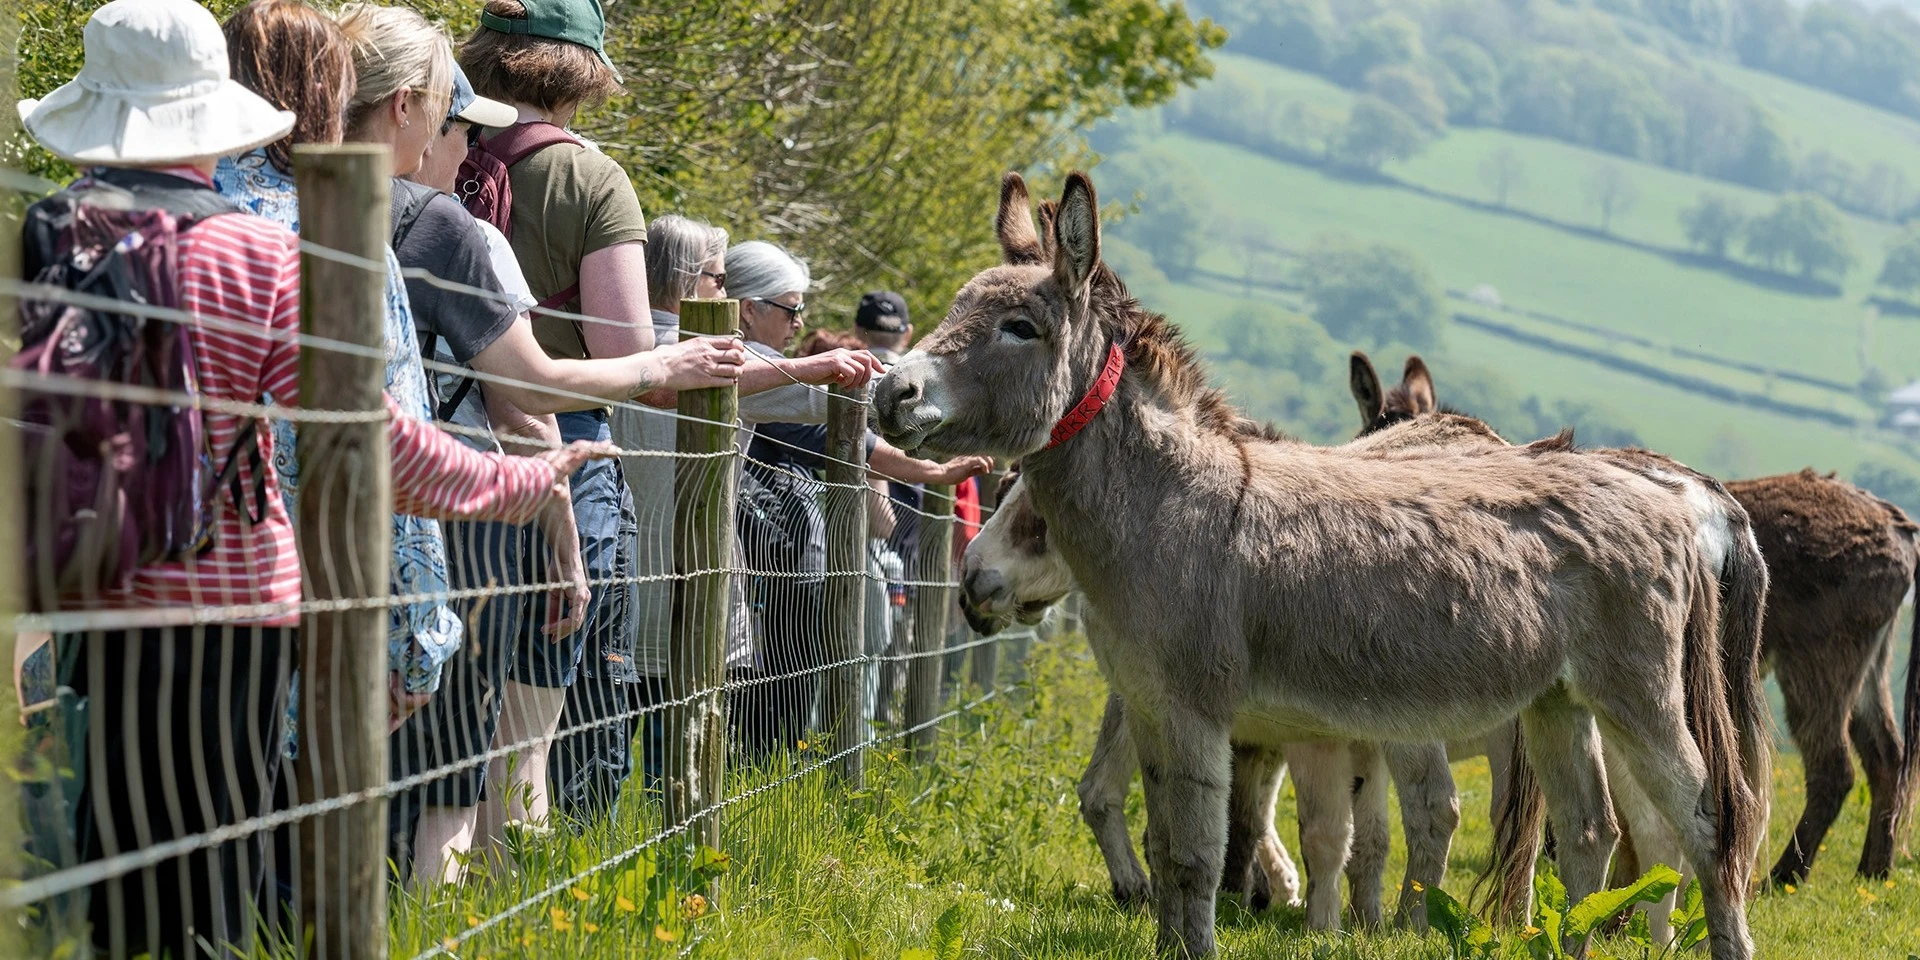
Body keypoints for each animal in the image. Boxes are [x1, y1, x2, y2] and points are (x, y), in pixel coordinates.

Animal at [873, 171, 1770, 960]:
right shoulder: (1152, 706)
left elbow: (1198, 853)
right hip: (1558, 698)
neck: (1168, 500)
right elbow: (1165, 845)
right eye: (959, 306)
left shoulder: (1198, 711)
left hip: (1637, 692)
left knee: (1705, 823)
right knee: (1590, 831)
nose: (889, 394)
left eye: (1020, 326)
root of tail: (1674, 501)